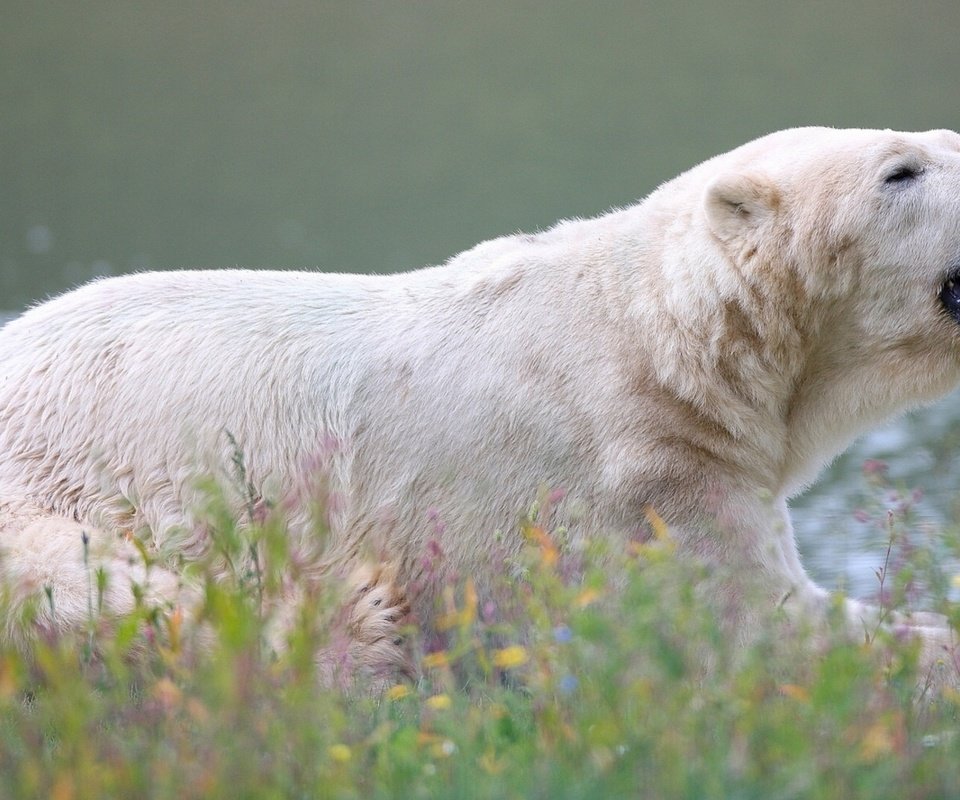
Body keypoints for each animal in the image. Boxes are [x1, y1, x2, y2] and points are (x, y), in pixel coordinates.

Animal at [1, 126, 960, 680]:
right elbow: (760, 630)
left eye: (938, 135)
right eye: (899, 170)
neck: (663, 341)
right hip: (54, 494)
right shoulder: (632, 478)